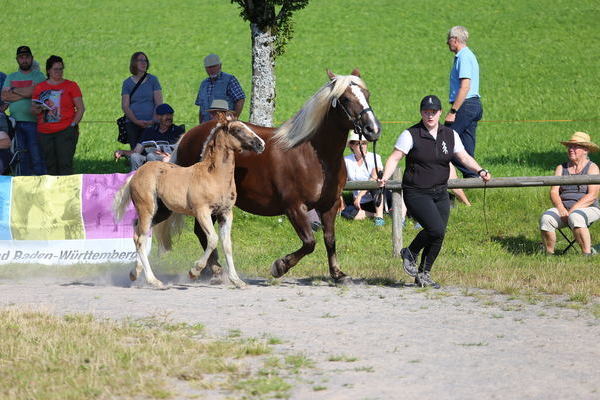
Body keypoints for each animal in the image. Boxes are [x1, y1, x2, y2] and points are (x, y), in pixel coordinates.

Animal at [113, 112, 264, 288]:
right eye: (238, 129)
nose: (261, 144)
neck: (214, 175)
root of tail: (136, 174)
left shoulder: (225, 213)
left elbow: (227, 245)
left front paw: (237, 280)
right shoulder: (202, 212)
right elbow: (213, 239)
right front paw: (194, 271)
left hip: (162, 212)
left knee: (138, 234)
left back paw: (135, 273)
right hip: (147, 209)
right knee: (141, 238)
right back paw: (153, 280)